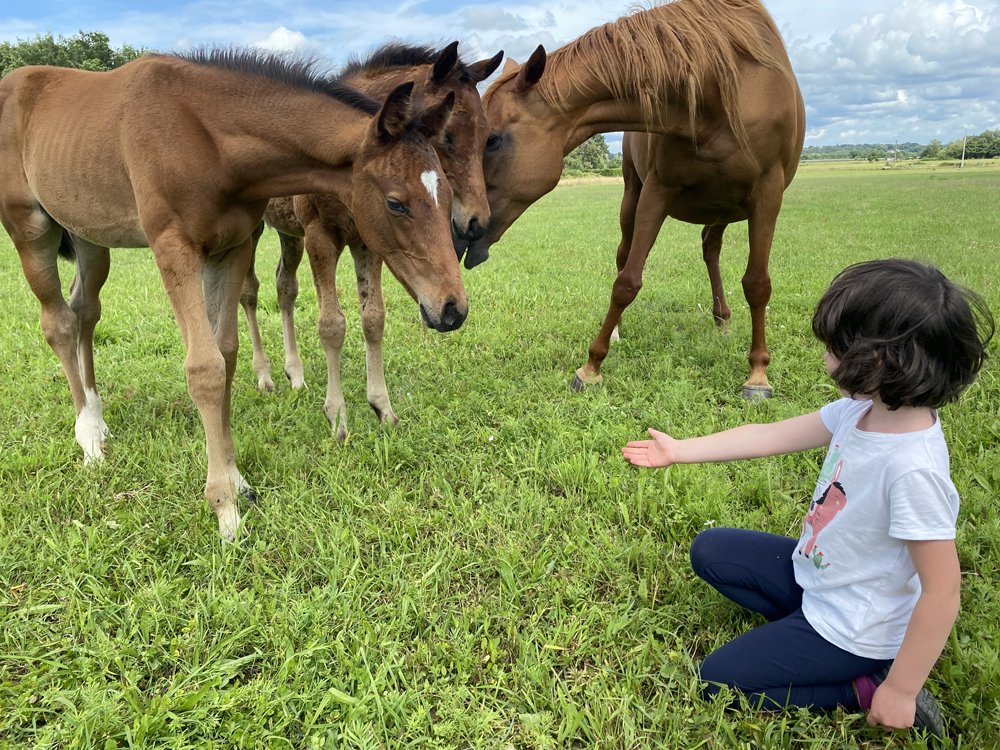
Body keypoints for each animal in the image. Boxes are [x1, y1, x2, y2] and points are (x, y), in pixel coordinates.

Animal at [0, 49, 464, 538]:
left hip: (89, 236)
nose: (452, 308)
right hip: (30, 228)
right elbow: (204, 368)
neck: (209, 141)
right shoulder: (174, 248)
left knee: (85, 310)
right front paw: (224, 506)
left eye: (447, 191)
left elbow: (226, 351)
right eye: (396, 203)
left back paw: (96, 414)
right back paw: (89, 435)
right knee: (59, 323)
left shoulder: (233, 246)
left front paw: (238, 480)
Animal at [239, 42, 502, 440]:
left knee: (285, 288)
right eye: (447, 136)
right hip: (254, 229)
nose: (477, 222)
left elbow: (373, 319)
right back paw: (264, 375)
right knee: (250, 291)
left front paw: (382, 407)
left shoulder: (369, 242)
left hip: (289, 234)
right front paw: (337, 418)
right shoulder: (320, 237)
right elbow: (332, 324)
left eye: (487, 135)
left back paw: (295, 375)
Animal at [473, 0, 805, 398]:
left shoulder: (767, 193)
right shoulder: (657, 191)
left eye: (491, 140)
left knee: (711, 249)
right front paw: (591, 366)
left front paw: (757, 373)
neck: (716, 89)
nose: (460, 225)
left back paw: (723, 321)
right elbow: (627, 280)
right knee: (633, 254)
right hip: (635, 194)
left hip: (723, 207)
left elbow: (757, 284)